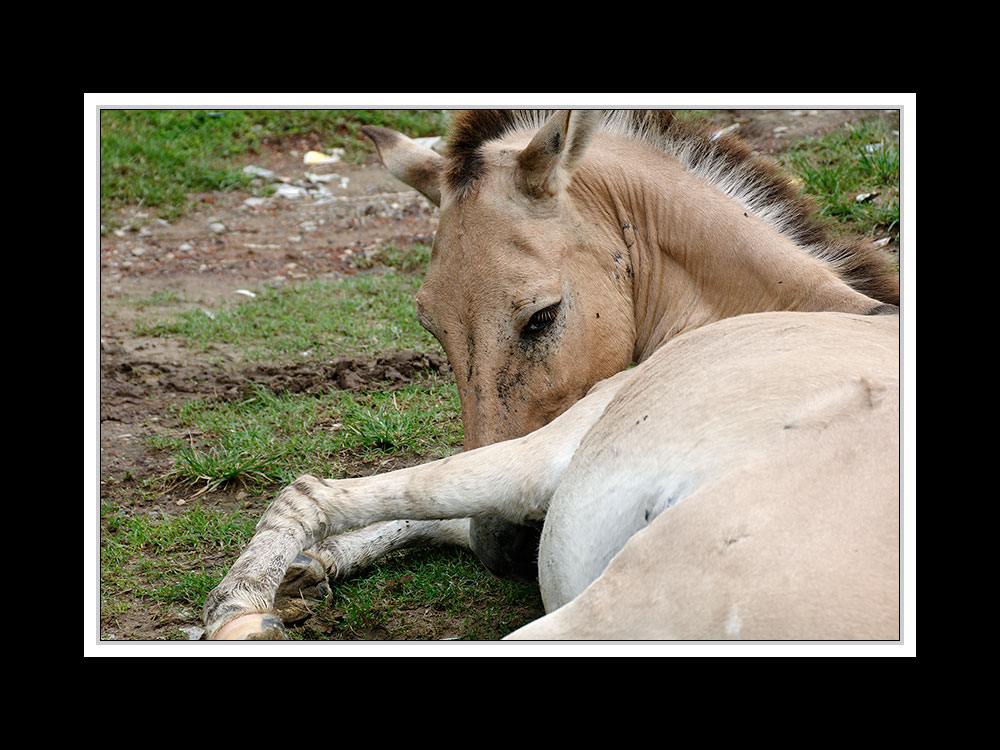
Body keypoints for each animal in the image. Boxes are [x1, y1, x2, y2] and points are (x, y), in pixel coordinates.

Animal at [201, 110, 900, 640]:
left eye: (542, 317)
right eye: (431, 326)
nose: (503, 550)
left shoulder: (567, 437)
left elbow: (374, 499)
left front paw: (269, 585)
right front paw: (311, 568)